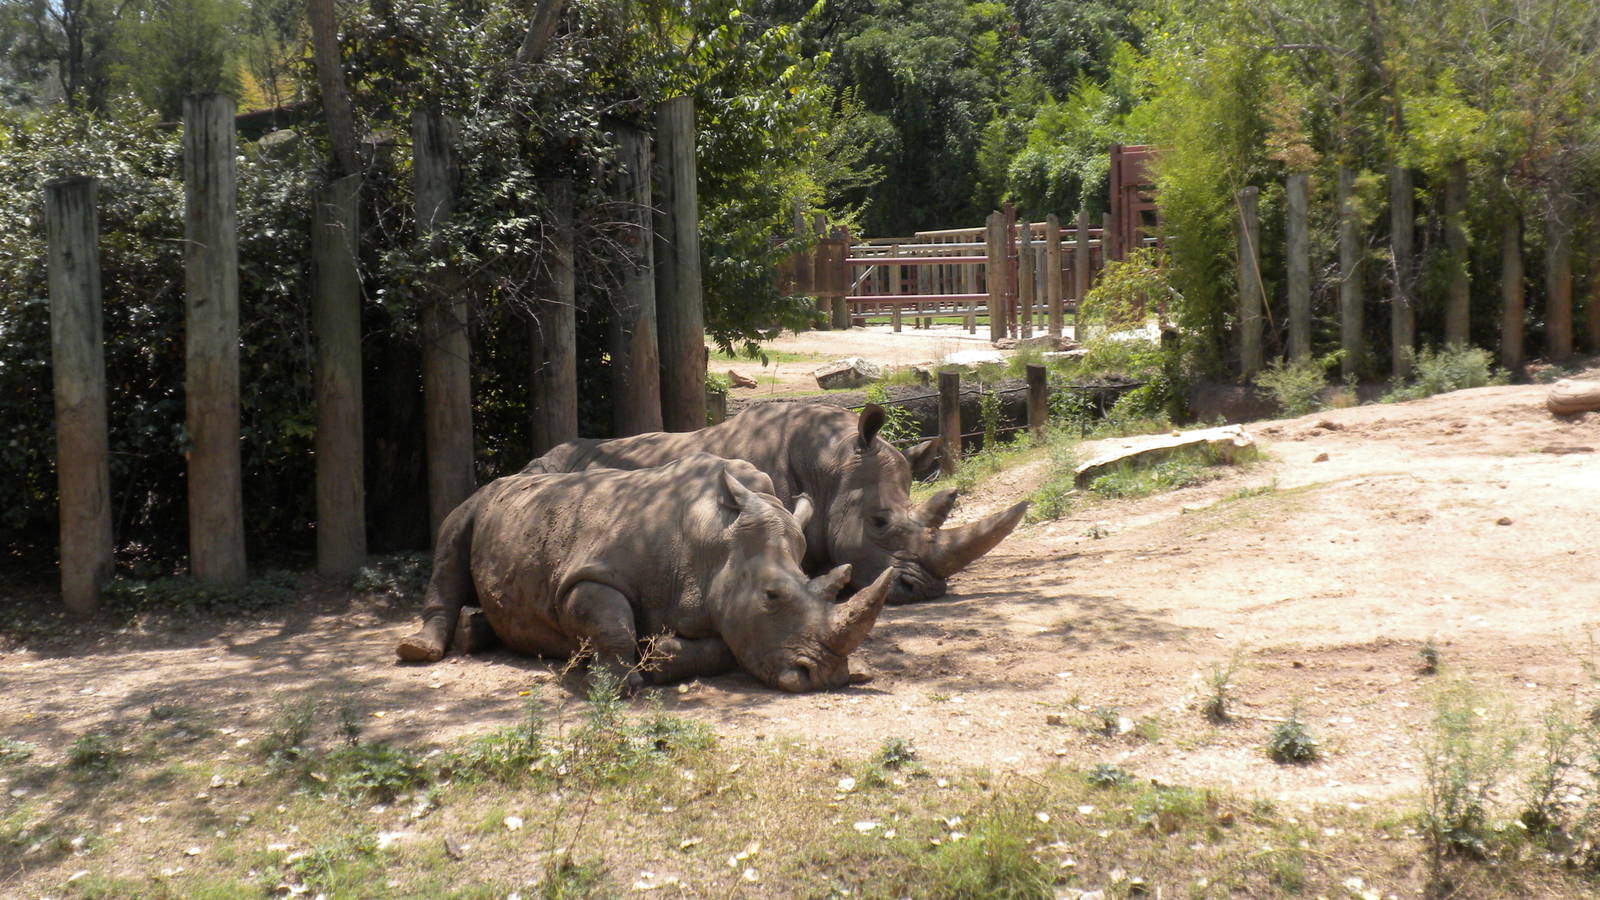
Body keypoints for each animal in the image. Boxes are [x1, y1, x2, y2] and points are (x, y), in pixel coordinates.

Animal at [395, 453, 893, 693]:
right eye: (771, 596)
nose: (826, 677)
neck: (715, 538)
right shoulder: (584, 578)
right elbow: (610, 622)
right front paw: (619, 684)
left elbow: (722, 648)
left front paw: (657, 655)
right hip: (481, 500)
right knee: (451, 538)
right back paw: (419, 651)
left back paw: (476, 634)